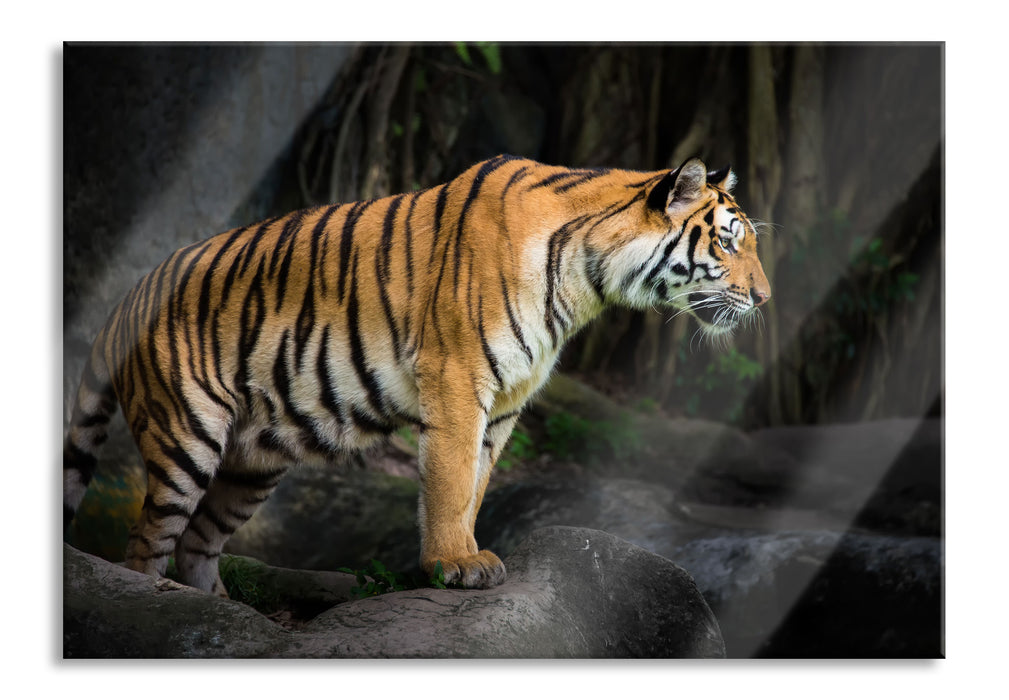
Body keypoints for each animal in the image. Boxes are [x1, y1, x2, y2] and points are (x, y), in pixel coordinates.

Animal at [63, 154, 771, 593]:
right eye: (727, 241)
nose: (765, 299)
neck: (587, 281)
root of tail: (128, 297)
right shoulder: (458, 376)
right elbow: (451, 478)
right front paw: (456, 564)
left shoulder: (507, 400)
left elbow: (478, 482)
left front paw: (465, 553)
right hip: (187, 434)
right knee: (145, 543)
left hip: (252, 463)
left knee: (198, 544)